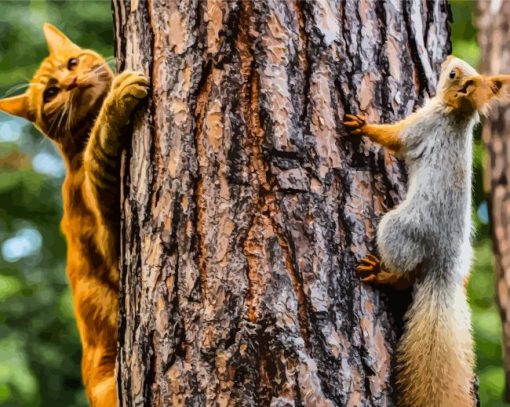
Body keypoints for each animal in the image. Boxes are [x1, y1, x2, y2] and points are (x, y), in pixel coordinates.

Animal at [0, 23, 148, 406]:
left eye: (72, 62)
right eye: (51, 93)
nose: (72, 81)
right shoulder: (111, 238)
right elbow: (98, 148)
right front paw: (115, 102)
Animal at [342, 56, 510, 407]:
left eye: (453, 74)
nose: (447, 59)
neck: (457, 115)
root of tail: (444, 265)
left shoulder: (422, 125)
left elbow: (393, 138)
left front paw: (363, 126)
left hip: (399, 228)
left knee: (403, 272)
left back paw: (381, 273)